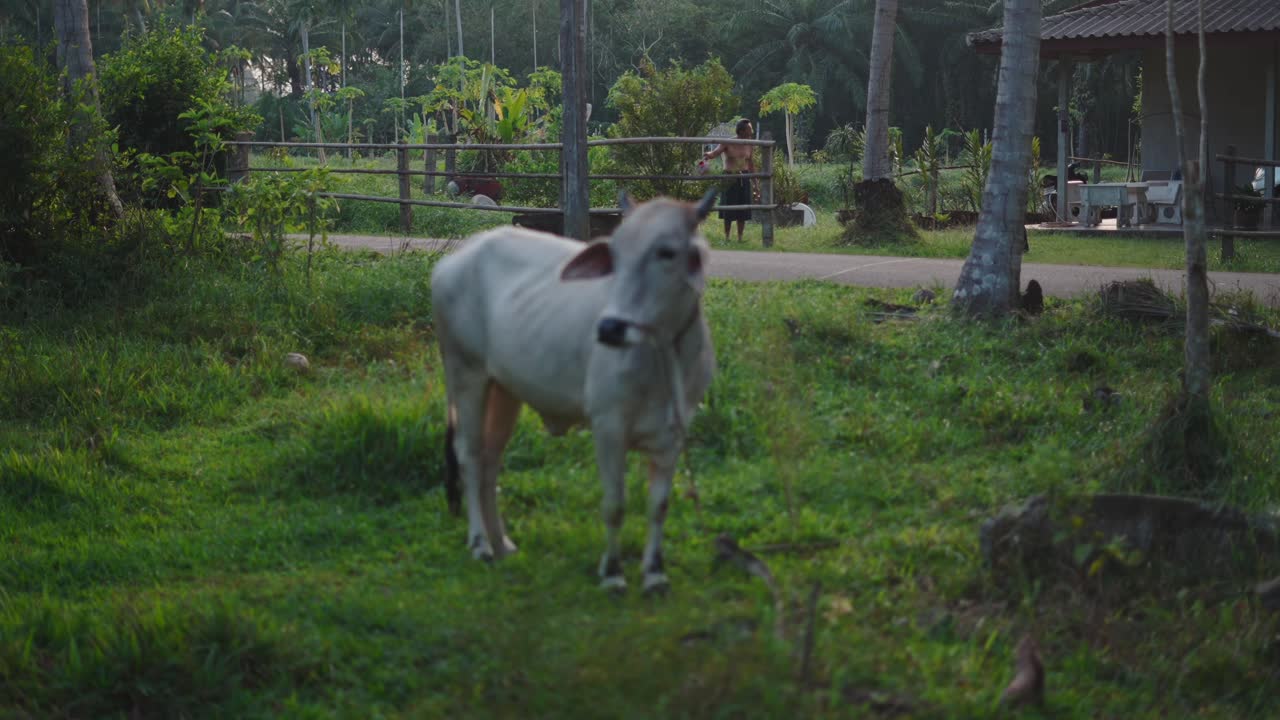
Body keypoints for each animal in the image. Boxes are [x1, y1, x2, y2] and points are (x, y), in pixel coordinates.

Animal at [431, 190, 718, 593]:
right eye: (615, 252)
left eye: (666, 252)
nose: (610, 328)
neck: (663, 353)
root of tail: (458, 256)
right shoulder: (608, 425)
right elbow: (614, 505)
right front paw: (612, 573)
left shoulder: (674, 432)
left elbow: (658, 507)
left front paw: (654, 573)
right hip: (465, 373)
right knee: (469, 456)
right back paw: (480, 544)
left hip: (504, 389)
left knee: (490, 460)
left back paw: (501, 543)